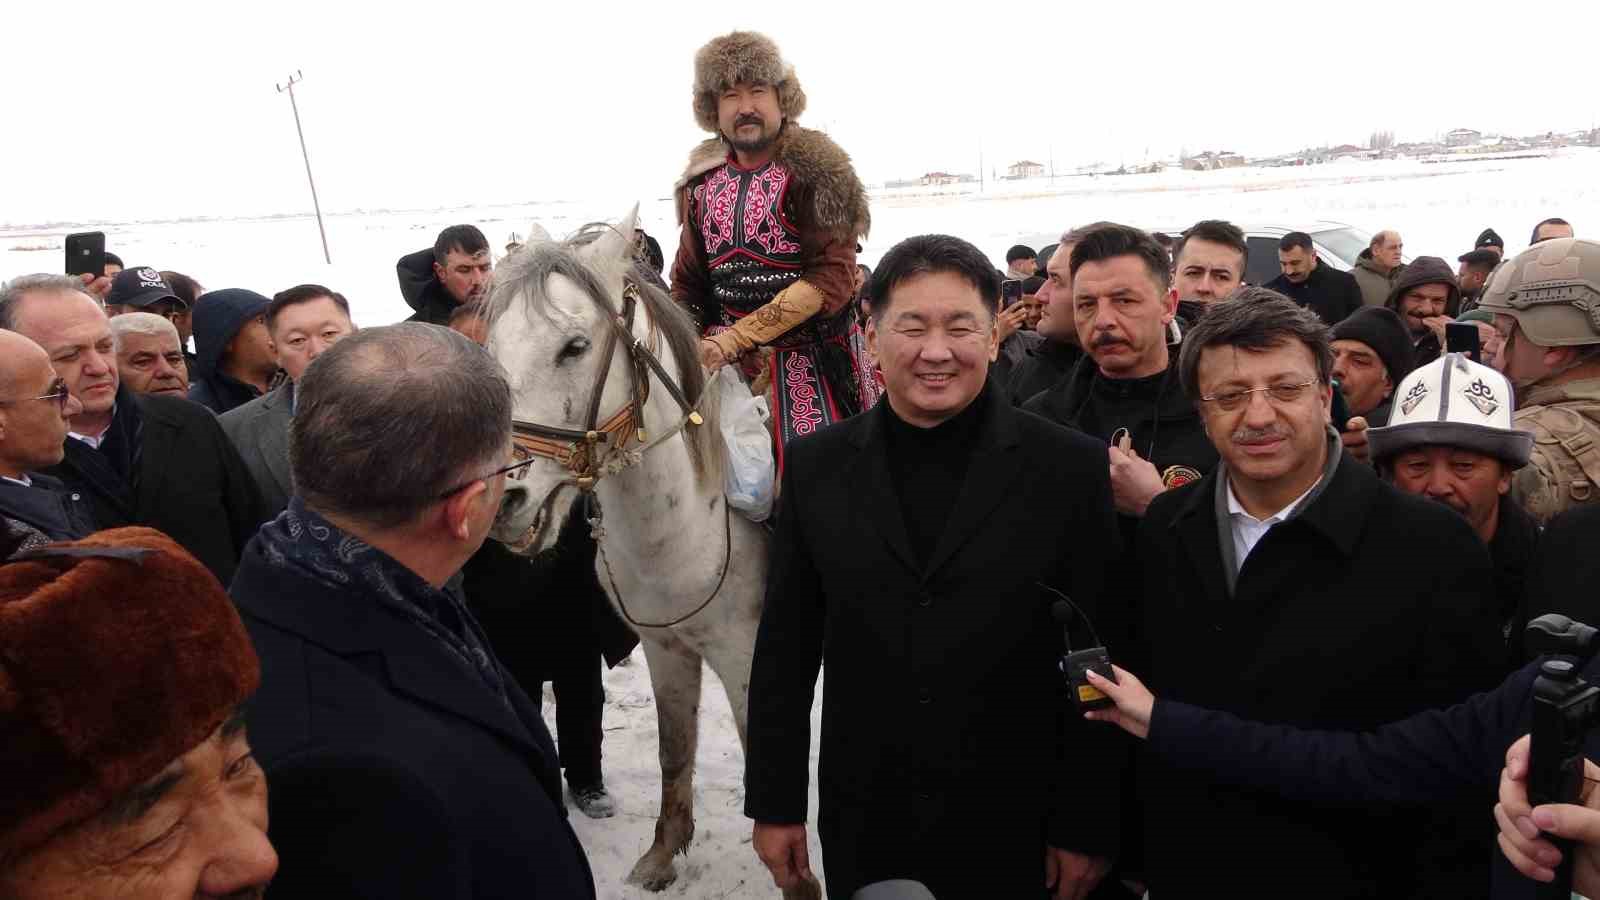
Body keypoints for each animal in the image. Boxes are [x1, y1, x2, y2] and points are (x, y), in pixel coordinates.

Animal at [483, 209, 812, 896]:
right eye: (494, 348)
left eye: (574, 346)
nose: (504, 500)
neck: (685, 526)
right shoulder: (665, 647)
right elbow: (672, 749)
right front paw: (663, 853)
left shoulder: (747, 655)